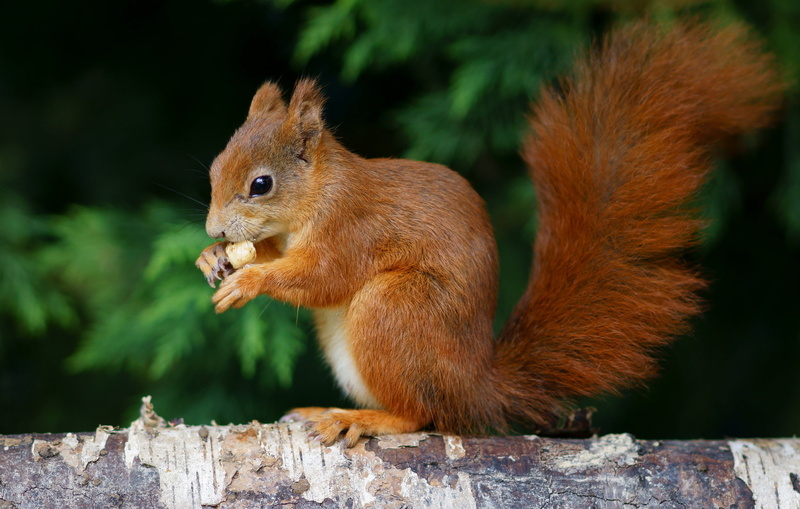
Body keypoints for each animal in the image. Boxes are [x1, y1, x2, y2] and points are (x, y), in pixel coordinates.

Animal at [196, 19, 784, 447]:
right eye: (215, 167)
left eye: (261, 184)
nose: (213, 226)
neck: (318, 194)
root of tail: (477, 387)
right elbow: (275, 253)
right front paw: (213, 257)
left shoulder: (352, 227)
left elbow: (323, 276)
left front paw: (248, 281)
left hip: (396, 309)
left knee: (422, 415)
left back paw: (363, 419)